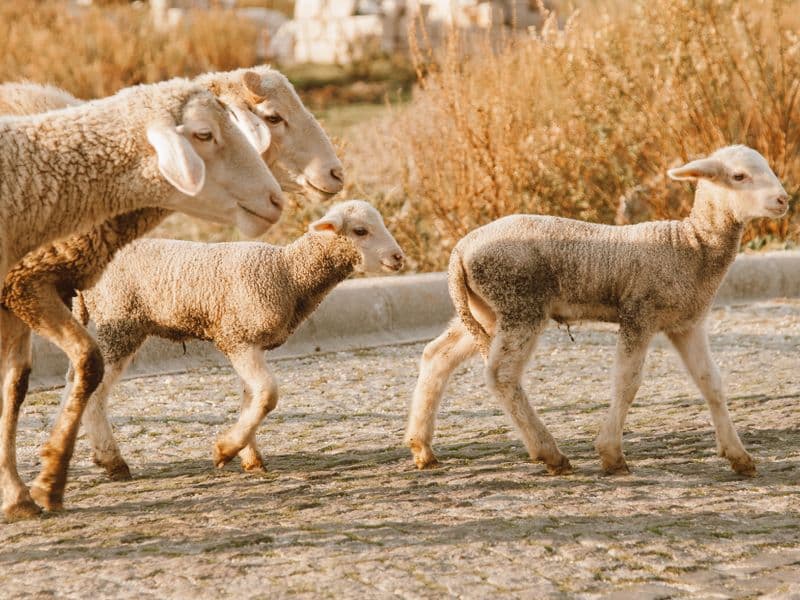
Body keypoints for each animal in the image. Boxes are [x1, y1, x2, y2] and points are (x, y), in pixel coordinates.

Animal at [66, 200, 403, 481]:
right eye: (360, 231)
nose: (398, 257)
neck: (288, 273)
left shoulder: (251, 342)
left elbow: (251, 396)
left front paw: (250, 458)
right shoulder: (237, 339)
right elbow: (268, 395)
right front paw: (225, 449)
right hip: (120, 324)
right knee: (95, 393)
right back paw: (112, 461)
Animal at [405, 145, 789, 477]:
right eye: (739, 176)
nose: (783, 199)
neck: (691, 245)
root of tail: (460, 250)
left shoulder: (686, 323)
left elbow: (711, 383)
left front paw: (739, 456)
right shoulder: (639, 314)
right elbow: (627, 382)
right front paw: (611, 454)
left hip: (486, 310)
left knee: (438, 355)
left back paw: (422, 447)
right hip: (520, 304)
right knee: (501, 375)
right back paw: (549, 453)